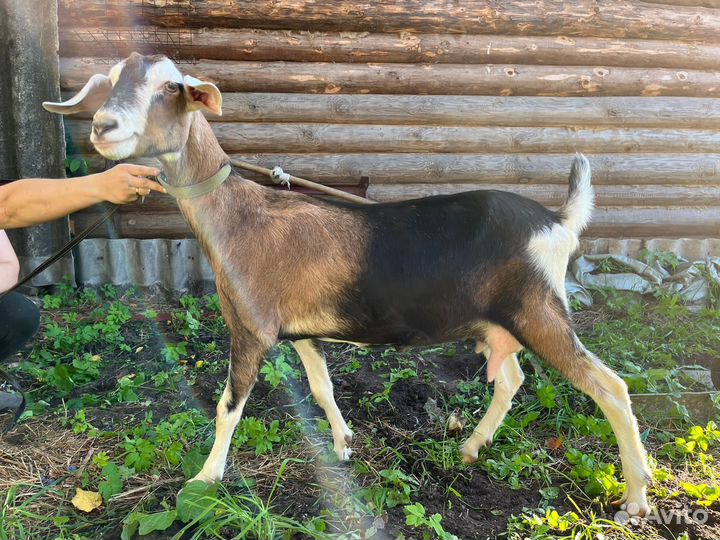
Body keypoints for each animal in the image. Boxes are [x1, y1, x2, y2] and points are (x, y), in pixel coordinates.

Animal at [44, 53, 651, 516]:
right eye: (113, 79)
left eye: (171, 86)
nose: (103, 128)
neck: (240, 216)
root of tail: (558, 222)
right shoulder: (302, 332)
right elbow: (322, 389)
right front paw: (343, 447)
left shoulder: (252, 329)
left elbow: (228, 406)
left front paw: (206, 478)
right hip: (498, 324)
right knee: (513, 379)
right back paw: (471, 449)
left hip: (540, 312)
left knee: (611, 387)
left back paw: (636, 498)